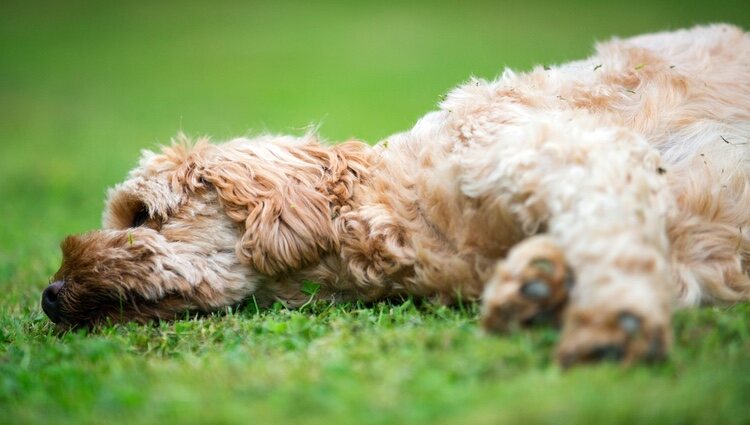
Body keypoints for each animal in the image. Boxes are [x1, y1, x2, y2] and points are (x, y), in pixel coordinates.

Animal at [42, 24, 750, 364]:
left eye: (142, 215)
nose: (49, 296)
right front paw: (538, 285)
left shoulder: (572, 152)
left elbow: (616, 234)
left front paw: (613, 319)